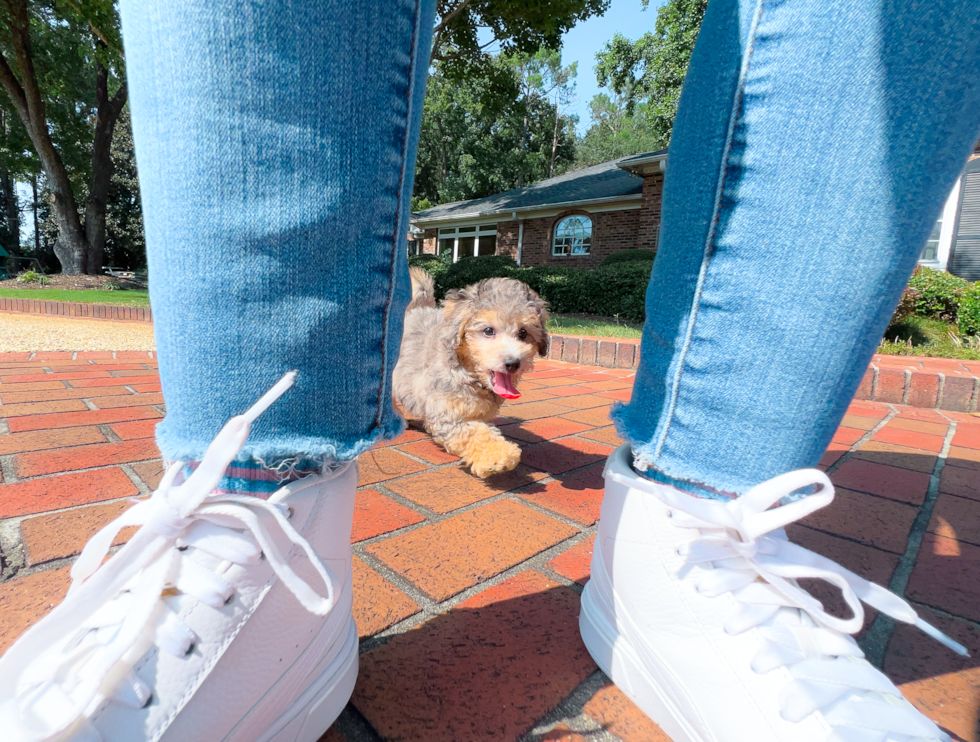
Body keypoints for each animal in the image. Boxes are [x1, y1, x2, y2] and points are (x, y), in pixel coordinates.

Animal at [396, 268, 552, 476]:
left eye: (523, 333)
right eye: (488, 330)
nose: (513, 363)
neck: (469, 375)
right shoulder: (448, 414)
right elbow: (476, 433)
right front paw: (499, 456)